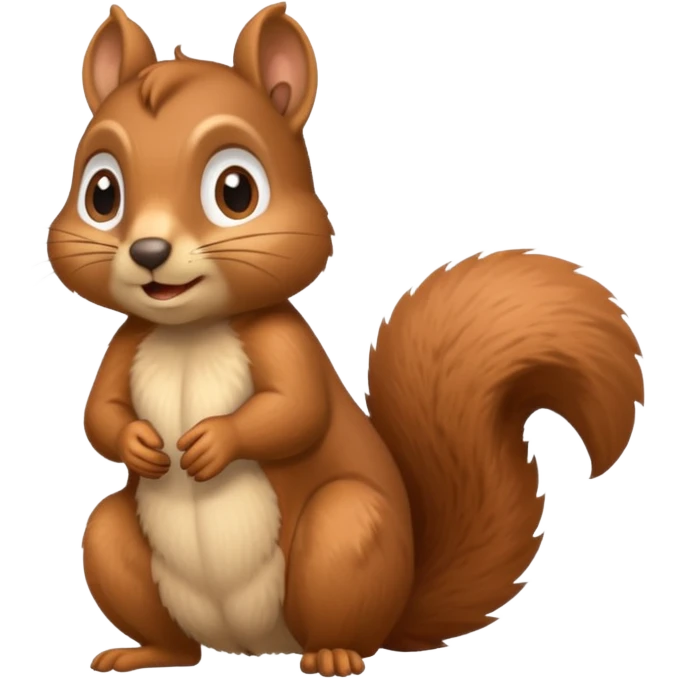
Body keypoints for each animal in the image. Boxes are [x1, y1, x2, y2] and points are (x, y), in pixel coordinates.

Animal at [48, 3, 645, 677]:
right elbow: (99, 413)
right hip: (116, 545)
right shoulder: (126, 343)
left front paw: (213, 441)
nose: (149, 252)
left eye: (236, 191)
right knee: (167, 627)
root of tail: (255, 646)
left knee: (343, 616)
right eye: (101, 193)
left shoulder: (284, 342)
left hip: (346, 534)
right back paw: (145, 652)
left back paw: (333, 655)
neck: (189, 332)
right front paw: (139, 443)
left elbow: (296, 411)